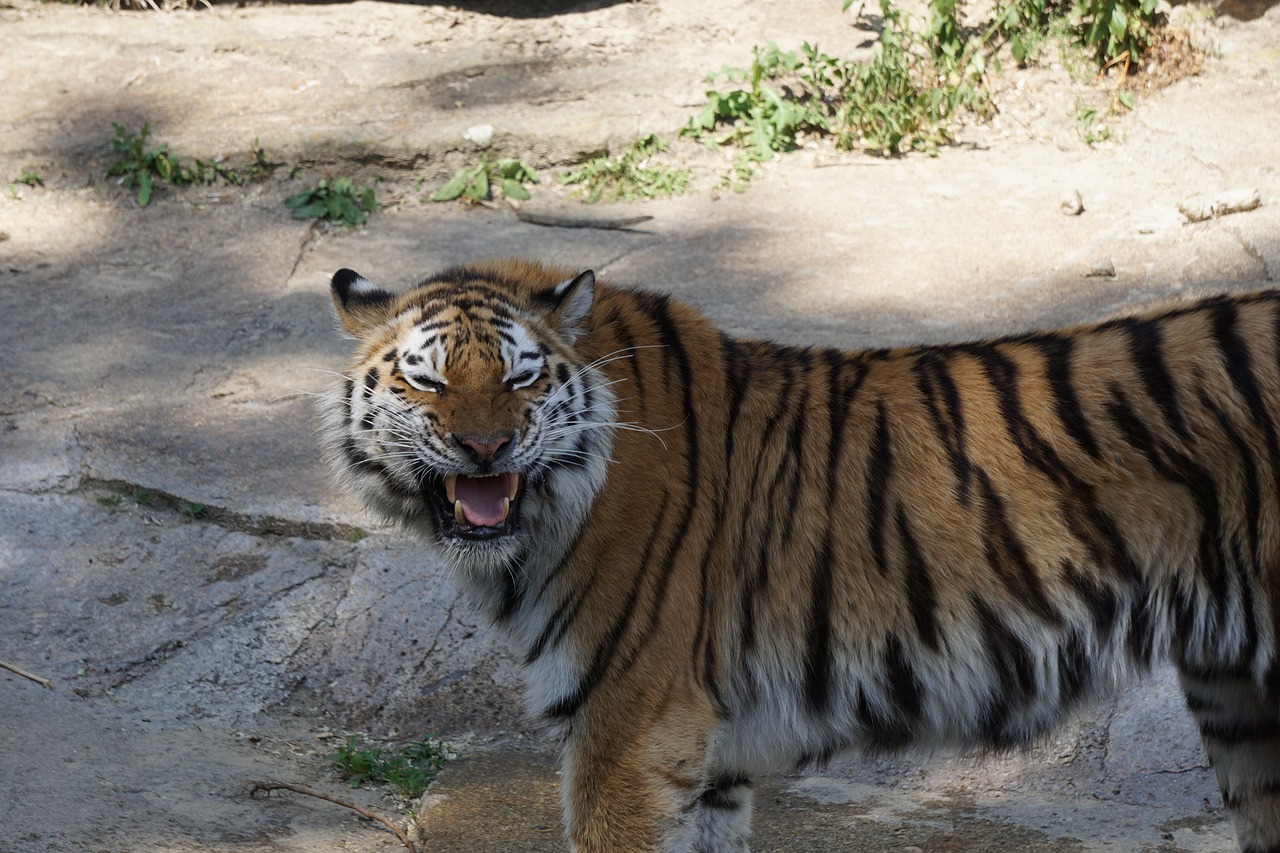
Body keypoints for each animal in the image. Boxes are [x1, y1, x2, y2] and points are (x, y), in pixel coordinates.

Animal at [320, 258, 1280, 850]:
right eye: (427, 379)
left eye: (520, 377)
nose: (484, 448)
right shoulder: (703, 755)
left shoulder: (626, 723)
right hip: (1237, 695)